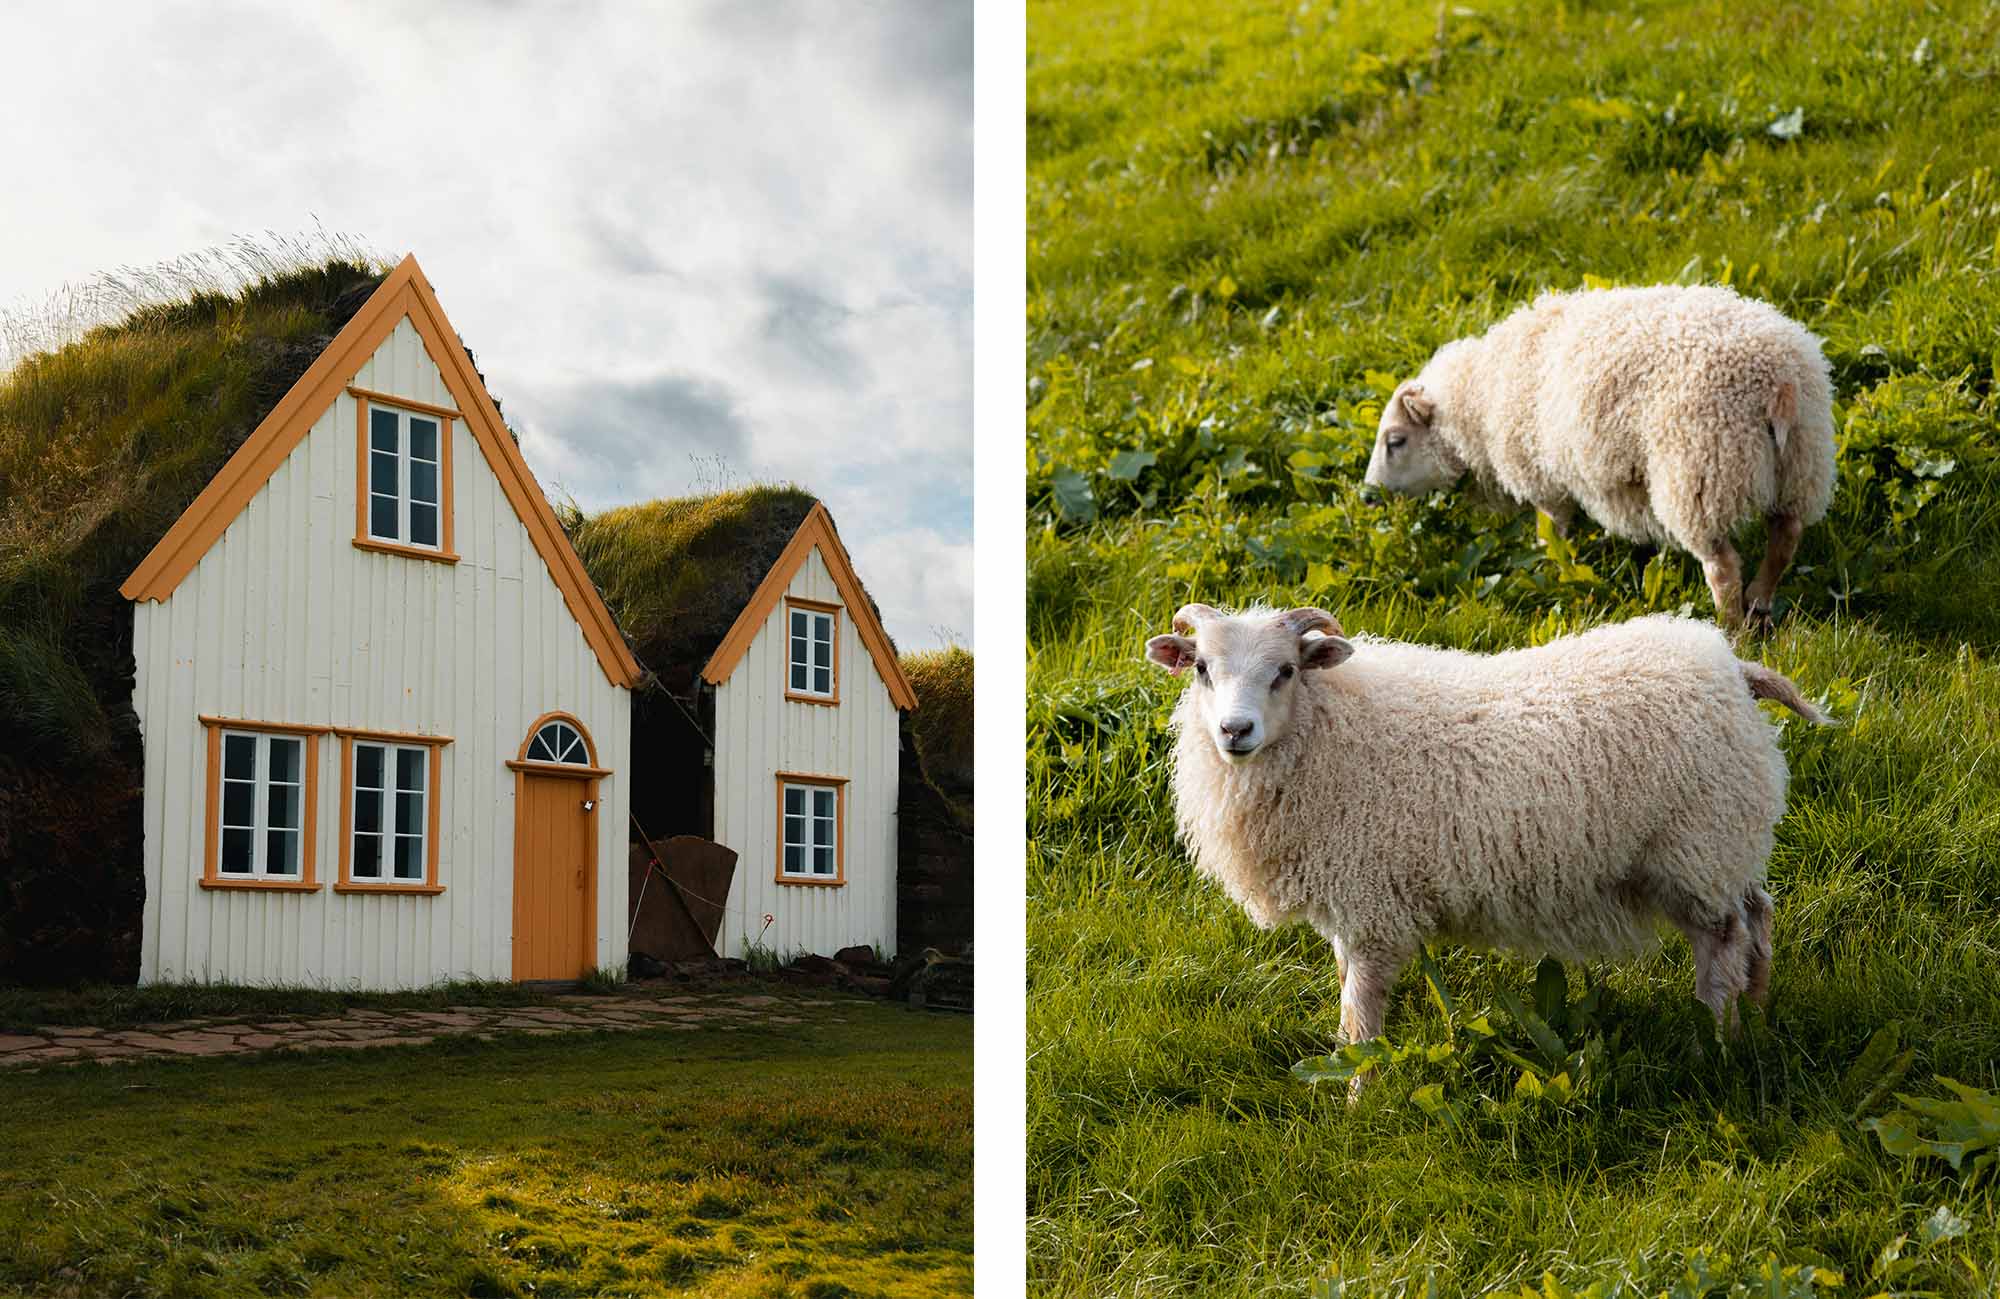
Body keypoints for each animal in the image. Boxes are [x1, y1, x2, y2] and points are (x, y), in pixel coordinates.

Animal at [1144, 603, 1832, 1079]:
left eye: (1285, 671)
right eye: (1201, 669)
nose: (1235, 731)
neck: (1330, 731)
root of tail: (1733, 669)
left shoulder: (1372, 903)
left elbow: (1360, 1014)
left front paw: (1359, 1097)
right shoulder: (1350, 902)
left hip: (1698, 846)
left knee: (1724, 942)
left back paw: (1713, 1042)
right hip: (1722, 843)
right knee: (1758, 917)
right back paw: (1756, 1018)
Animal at [1368, 283, 1832, 631]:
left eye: (1396, 441)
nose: (1369, 495)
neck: (1479, 396)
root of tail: (1778, 384)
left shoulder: (1542, 477)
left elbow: (1552, 532)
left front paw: (1555, 563)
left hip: (1699, 471)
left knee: (1722, 566)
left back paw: (1732, 626)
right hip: (1801, 466)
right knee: (1785, 539)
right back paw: (1760, 603)